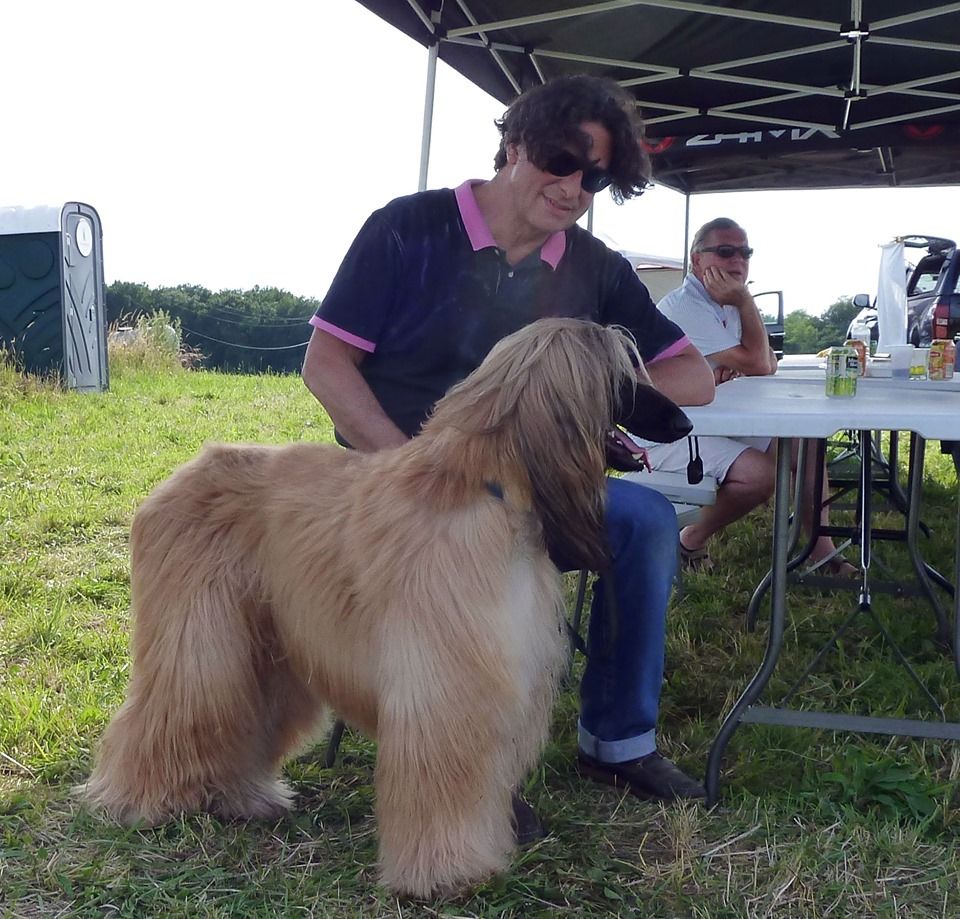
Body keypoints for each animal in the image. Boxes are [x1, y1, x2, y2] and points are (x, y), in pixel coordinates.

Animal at [80, 316, 688, 900]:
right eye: (623, 376)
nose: (684, 422)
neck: (486, 488)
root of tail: (180, 475)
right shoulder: (448, 676)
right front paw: (448, 873)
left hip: (267, 641)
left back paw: (241, 797)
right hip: (202, 632)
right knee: (178, 705)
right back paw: (135, 802)